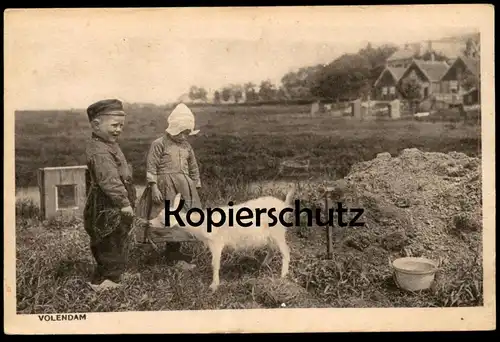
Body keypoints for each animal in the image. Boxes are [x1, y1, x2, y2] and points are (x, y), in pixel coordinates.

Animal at [148, 187, 296, 292]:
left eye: (163, 221)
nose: (149, 222)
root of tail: (284, 204)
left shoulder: (216, 242)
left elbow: (215, 264)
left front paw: (214, 286)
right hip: (270, 235)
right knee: (273, 249)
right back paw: (264, 264)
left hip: (278, 232)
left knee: (286, 251)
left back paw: (282, 276)